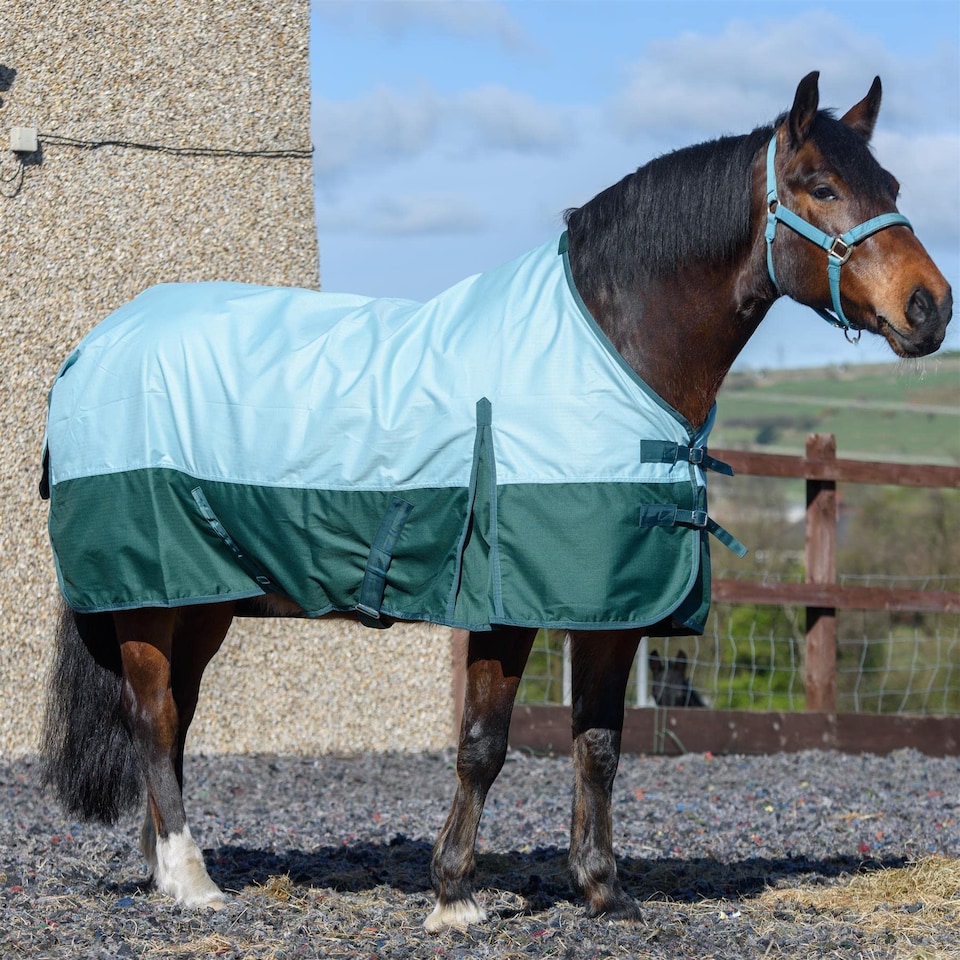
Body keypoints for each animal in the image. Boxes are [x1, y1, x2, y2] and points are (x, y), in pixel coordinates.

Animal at [39, 73, 952, 930]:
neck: (610, 351)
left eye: (892, 184)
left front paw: (603, 890)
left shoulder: (610, 607)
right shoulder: (504, 603)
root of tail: (97, 345)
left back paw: (165, 870)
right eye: (821, 186)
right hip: (152, 597)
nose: (930, 307)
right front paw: (454, 894)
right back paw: (193, 883)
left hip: (201, 599)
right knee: (154, 719)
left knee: (177, 715)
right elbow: (482, 745)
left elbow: (598, 746)